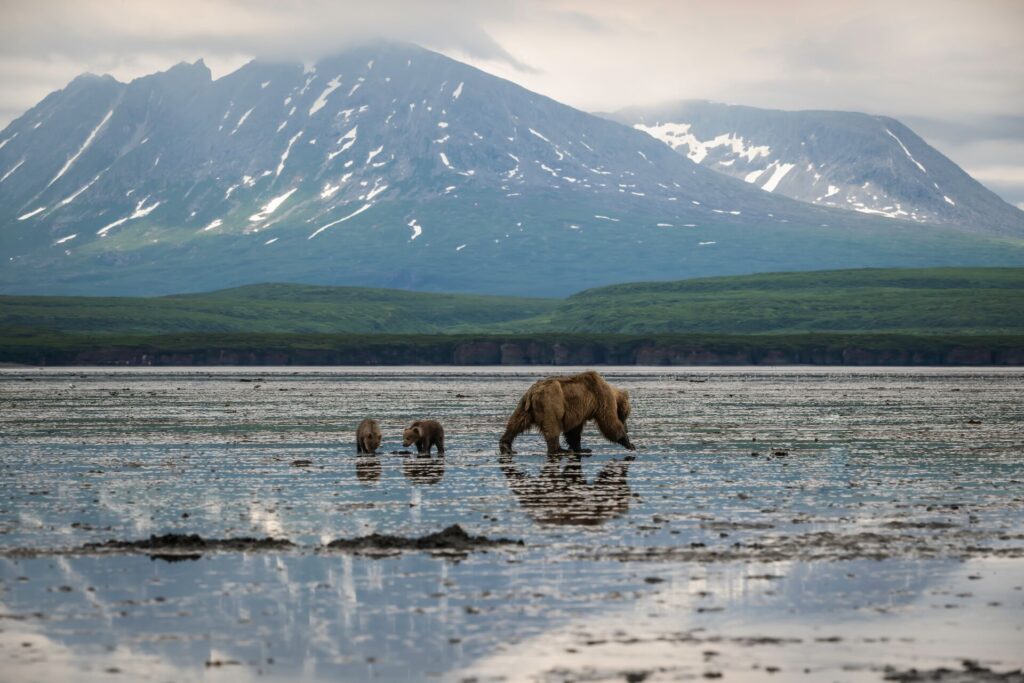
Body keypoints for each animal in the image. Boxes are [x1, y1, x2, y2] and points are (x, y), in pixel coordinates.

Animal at [499, 370, 635, 455]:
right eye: (626, 415)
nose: (627, 429)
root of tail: (533, 392)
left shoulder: (578, 410)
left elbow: (574, 431)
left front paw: (582, 448)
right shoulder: (600, 398)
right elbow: (609, 422)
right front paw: (629, 443)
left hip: (525, 406)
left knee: (517, 423)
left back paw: (506, 446)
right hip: (550, 403)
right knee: (552, 425)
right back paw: (559, 449)